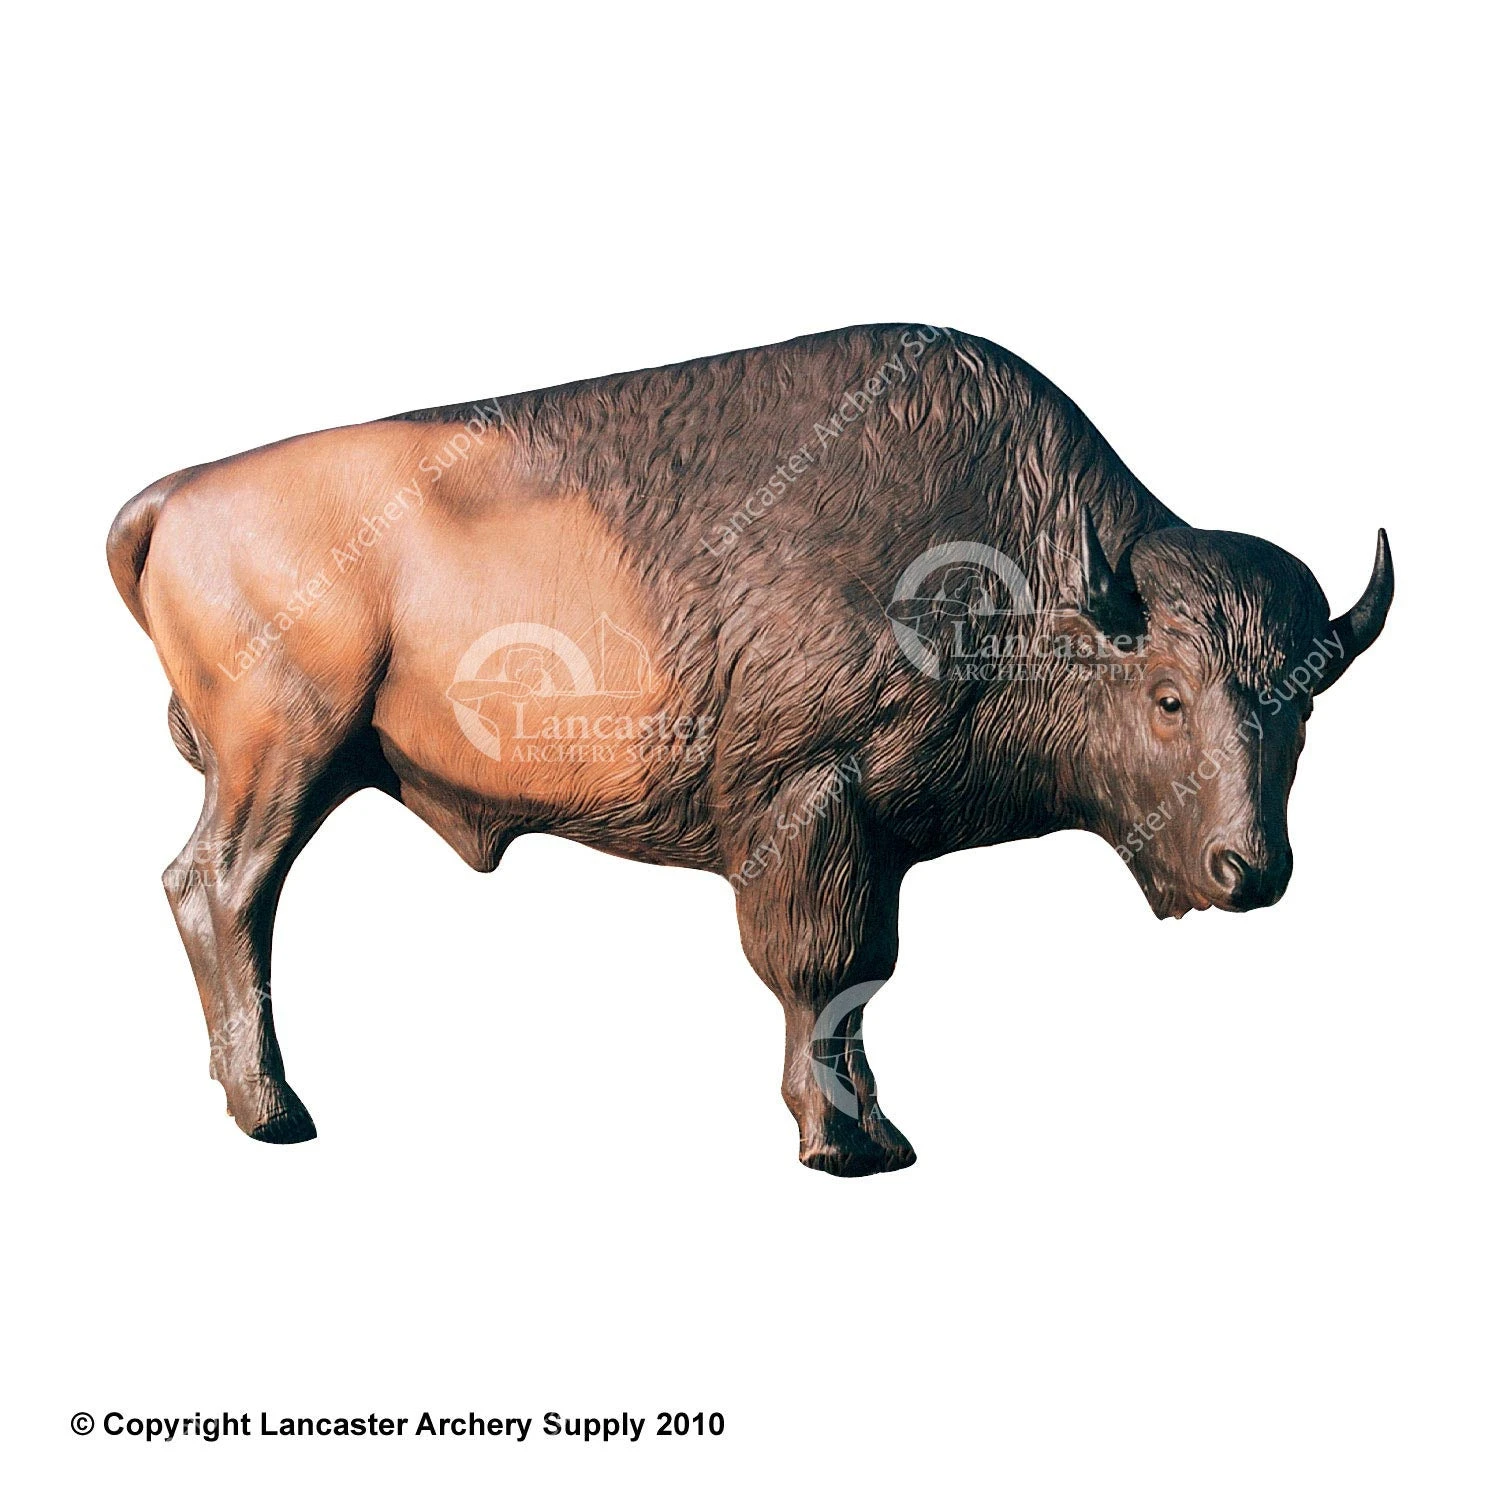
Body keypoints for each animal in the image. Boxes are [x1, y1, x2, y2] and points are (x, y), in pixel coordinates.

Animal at [108, 325, 1392, 1172]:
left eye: (1305, 711)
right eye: (1169, 698)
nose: (1251, 871)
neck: (1033, 583)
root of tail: (173, 496)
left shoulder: (877, 842)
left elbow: (864, 978)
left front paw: (881, 1132)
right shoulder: (810, 806)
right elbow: (819, 970)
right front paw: (840, 1146)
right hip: (285, 756)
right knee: (222, 889)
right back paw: (276, 1112)